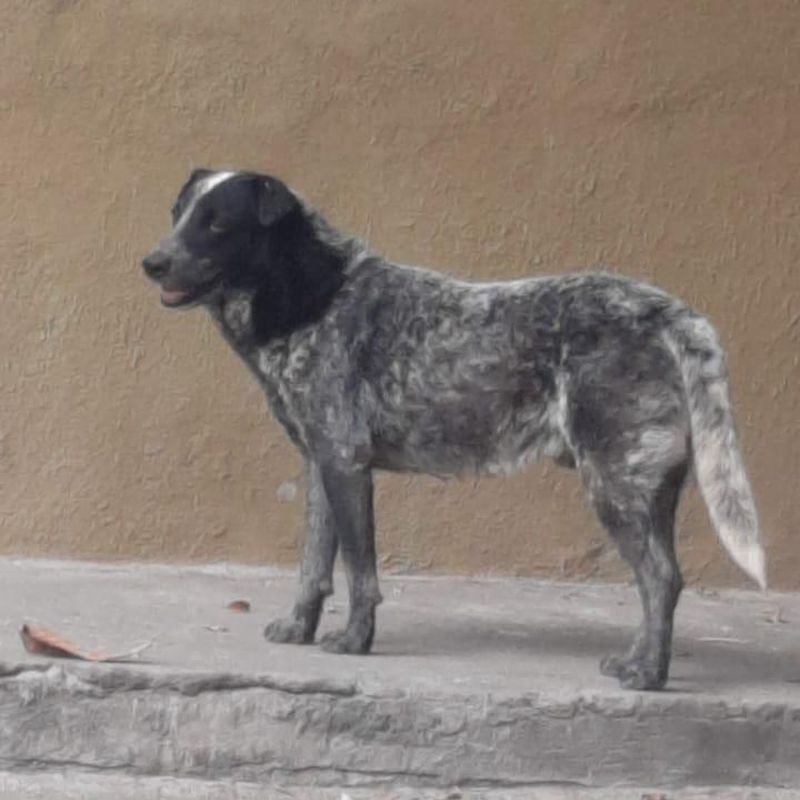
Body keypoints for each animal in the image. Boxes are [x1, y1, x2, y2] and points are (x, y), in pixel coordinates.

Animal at [141, 167, 764, 688]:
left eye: (216, 222)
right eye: (177, 212)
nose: (151, 262)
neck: (313, 293)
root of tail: (669, 312)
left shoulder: (346, 463)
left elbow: (359, 571)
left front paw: (354, 641)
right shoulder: (320, 465)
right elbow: (313, 565)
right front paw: (299, 627)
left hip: (613, 482)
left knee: (659, 579)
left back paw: (648, 675)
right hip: (649, 487)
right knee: (663, 580)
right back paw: (638, 660)